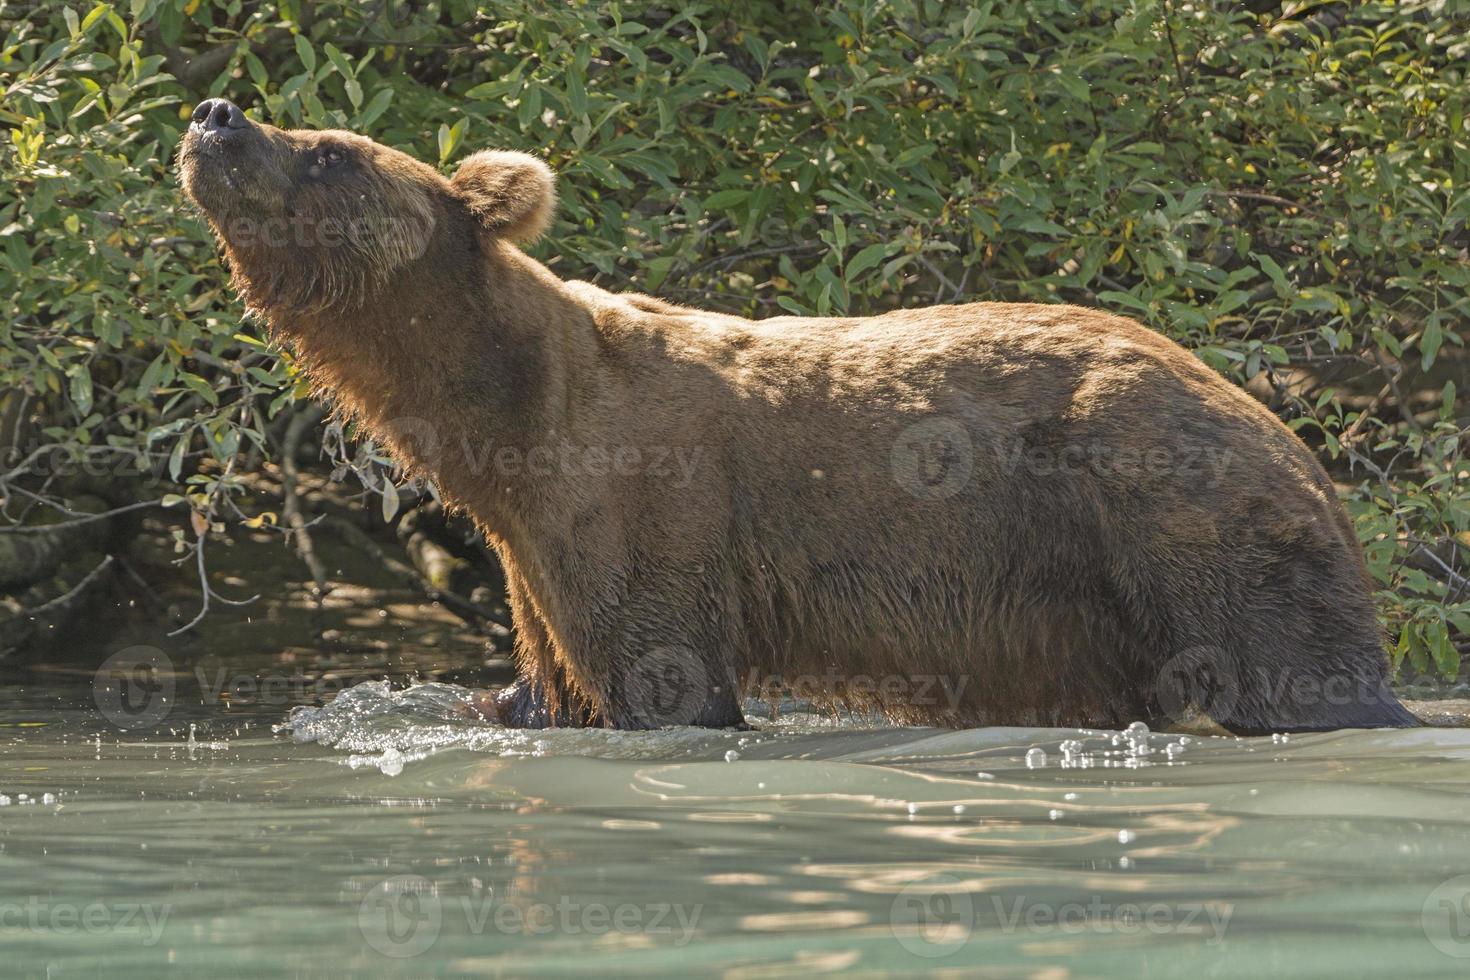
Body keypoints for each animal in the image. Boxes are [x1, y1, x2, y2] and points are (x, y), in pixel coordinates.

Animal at [177, 101, 1417, 734]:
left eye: (329, 148)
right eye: (305, 127)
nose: (215, 114)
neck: (507, 426)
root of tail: (1295, 437)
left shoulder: (649, 509)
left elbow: (666, 675)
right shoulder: (532, 562)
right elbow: (545, 688)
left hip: (1177, 514)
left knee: (1291, 665)